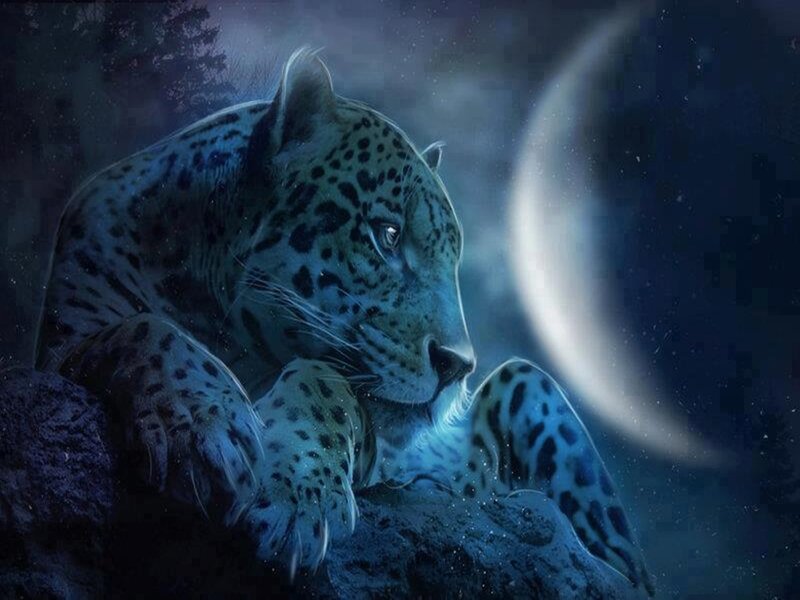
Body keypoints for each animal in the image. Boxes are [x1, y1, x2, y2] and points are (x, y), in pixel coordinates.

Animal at [35, 48, 654, 595]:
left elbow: (324, 380)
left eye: (452, 259)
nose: (458, 366)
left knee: (622, 569)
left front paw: (296, 500)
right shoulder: (65, 339)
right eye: (388, 235)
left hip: (525, 382)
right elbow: (140, 330)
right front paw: (203, 424)